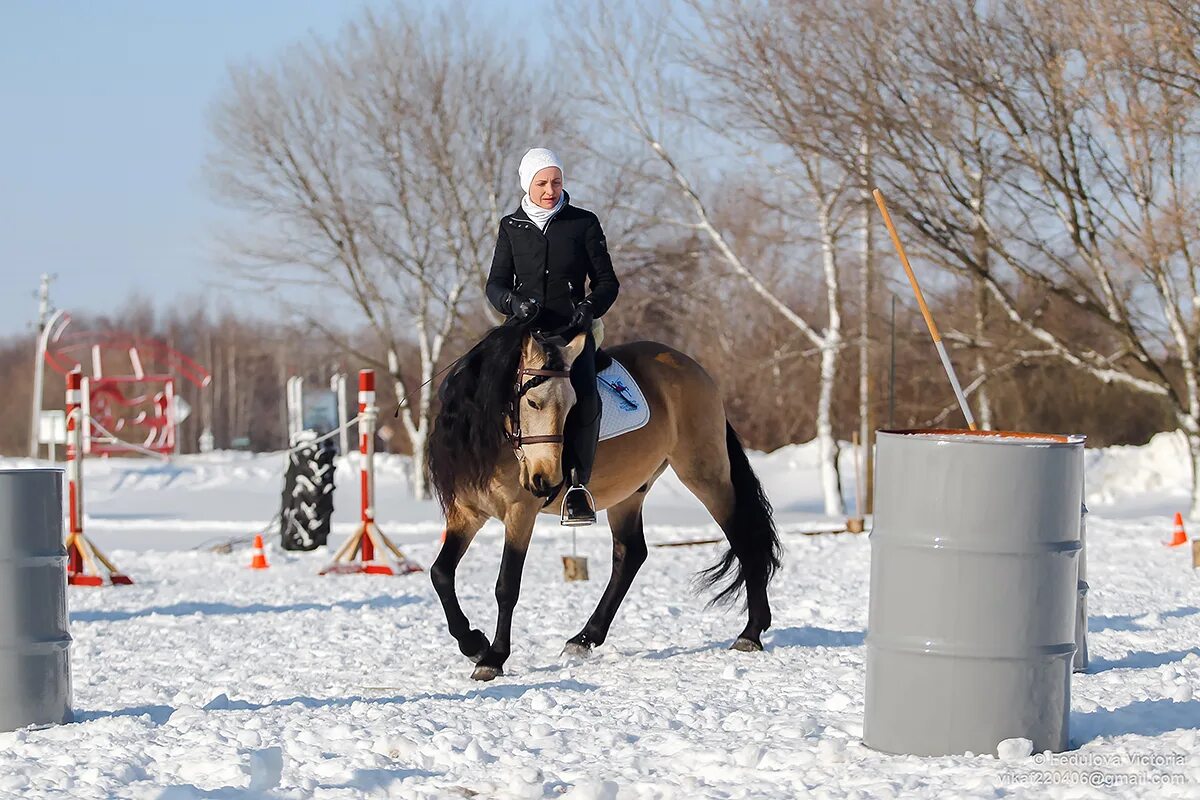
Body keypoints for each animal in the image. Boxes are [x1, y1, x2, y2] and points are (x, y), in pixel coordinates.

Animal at [427, 321, 782, 681]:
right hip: (629, 491)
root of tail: (693, 367)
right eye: (533, 402)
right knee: (631, 554)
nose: (546, 481)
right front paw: (473, 644)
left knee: (744, 539)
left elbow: (506, 585)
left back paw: (751, 634)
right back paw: (584, 638)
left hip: (705, 475)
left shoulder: (520, 513)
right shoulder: (465, 514)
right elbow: (440, 573)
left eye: (572, 407)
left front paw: (493, 657)